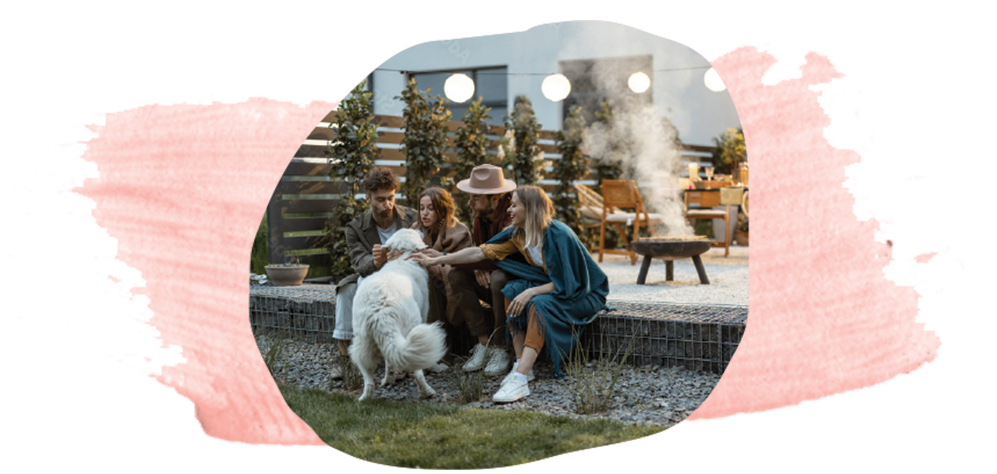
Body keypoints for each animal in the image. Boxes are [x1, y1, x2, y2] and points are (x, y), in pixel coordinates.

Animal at [348, 228, 446, 402]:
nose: (420, 228)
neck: (402, 259)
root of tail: (380, 310)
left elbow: (389, 362)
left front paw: (389, 378)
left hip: (361, 343)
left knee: (368, 378)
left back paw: (366, 396)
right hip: (412, 330)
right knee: (418, 372)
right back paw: (427, 392)